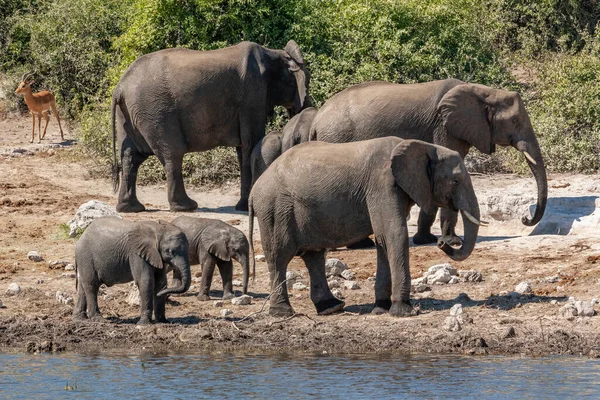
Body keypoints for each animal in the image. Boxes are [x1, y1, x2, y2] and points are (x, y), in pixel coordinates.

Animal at [110, 41, 312, 214]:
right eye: (307, 82)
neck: (273, 54)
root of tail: (119, 88)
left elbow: (243, 147)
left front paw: (241, 207)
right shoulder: (252, 94)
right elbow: (251, 142)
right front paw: (245, 208)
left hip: (130, 113)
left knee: (131, 156)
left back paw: (131, 208)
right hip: (155, 111)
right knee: (172, 154)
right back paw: (186, 206)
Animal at [248, 139, 482, 318]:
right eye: (455, 181)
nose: (442, 243)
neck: (424, 146)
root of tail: (253, 191)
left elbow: (383, 239)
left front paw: (381, 309)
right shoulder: (382, 186)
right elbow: (395, 234)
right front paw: (403, 312)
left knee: (314, 256)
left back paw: (331, 308)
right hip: (275, 209)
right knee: (280, 257)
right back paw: (283, 313)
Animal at [310, 79, 548, 245]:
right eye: (514, 120)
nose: (525, 219)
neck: (483, 91)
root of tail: (316, 120)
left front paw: (427, 240)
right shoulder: (443, 127)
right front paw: (451, 242)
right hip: (338, 139)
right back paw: (360, 245)